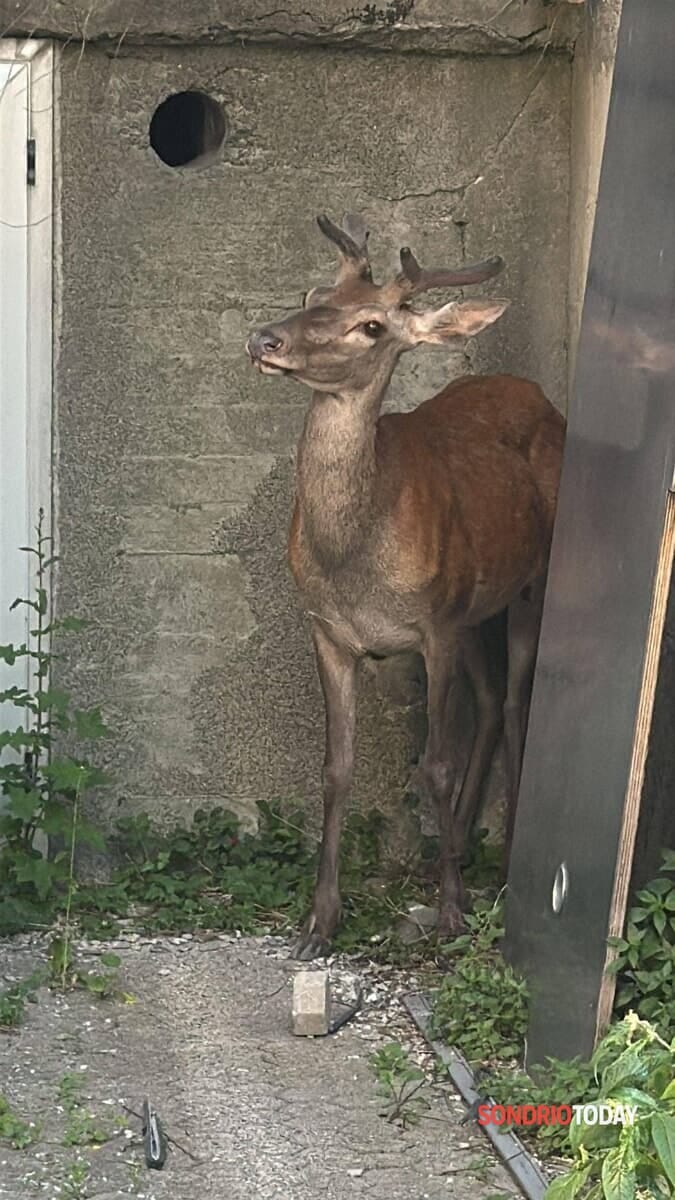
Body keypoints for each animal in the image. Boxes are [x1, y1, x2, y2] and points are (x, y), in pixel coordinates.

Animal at [246, 214, 566, 960]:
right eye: (311, 293)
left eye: (371, 326)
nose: (265, 339)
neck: (354, 564)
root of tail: (539, 395)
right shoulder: (327, 629)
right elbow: (336, 769)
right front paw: (319, 921)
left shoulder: (434, 625)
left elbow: (435, 765)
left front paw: (449, 915)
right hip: (473, 607)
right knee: (489, 702)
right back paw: (451, 853)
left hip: (523, 587)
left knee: (514, 702)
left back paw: (497, 865)